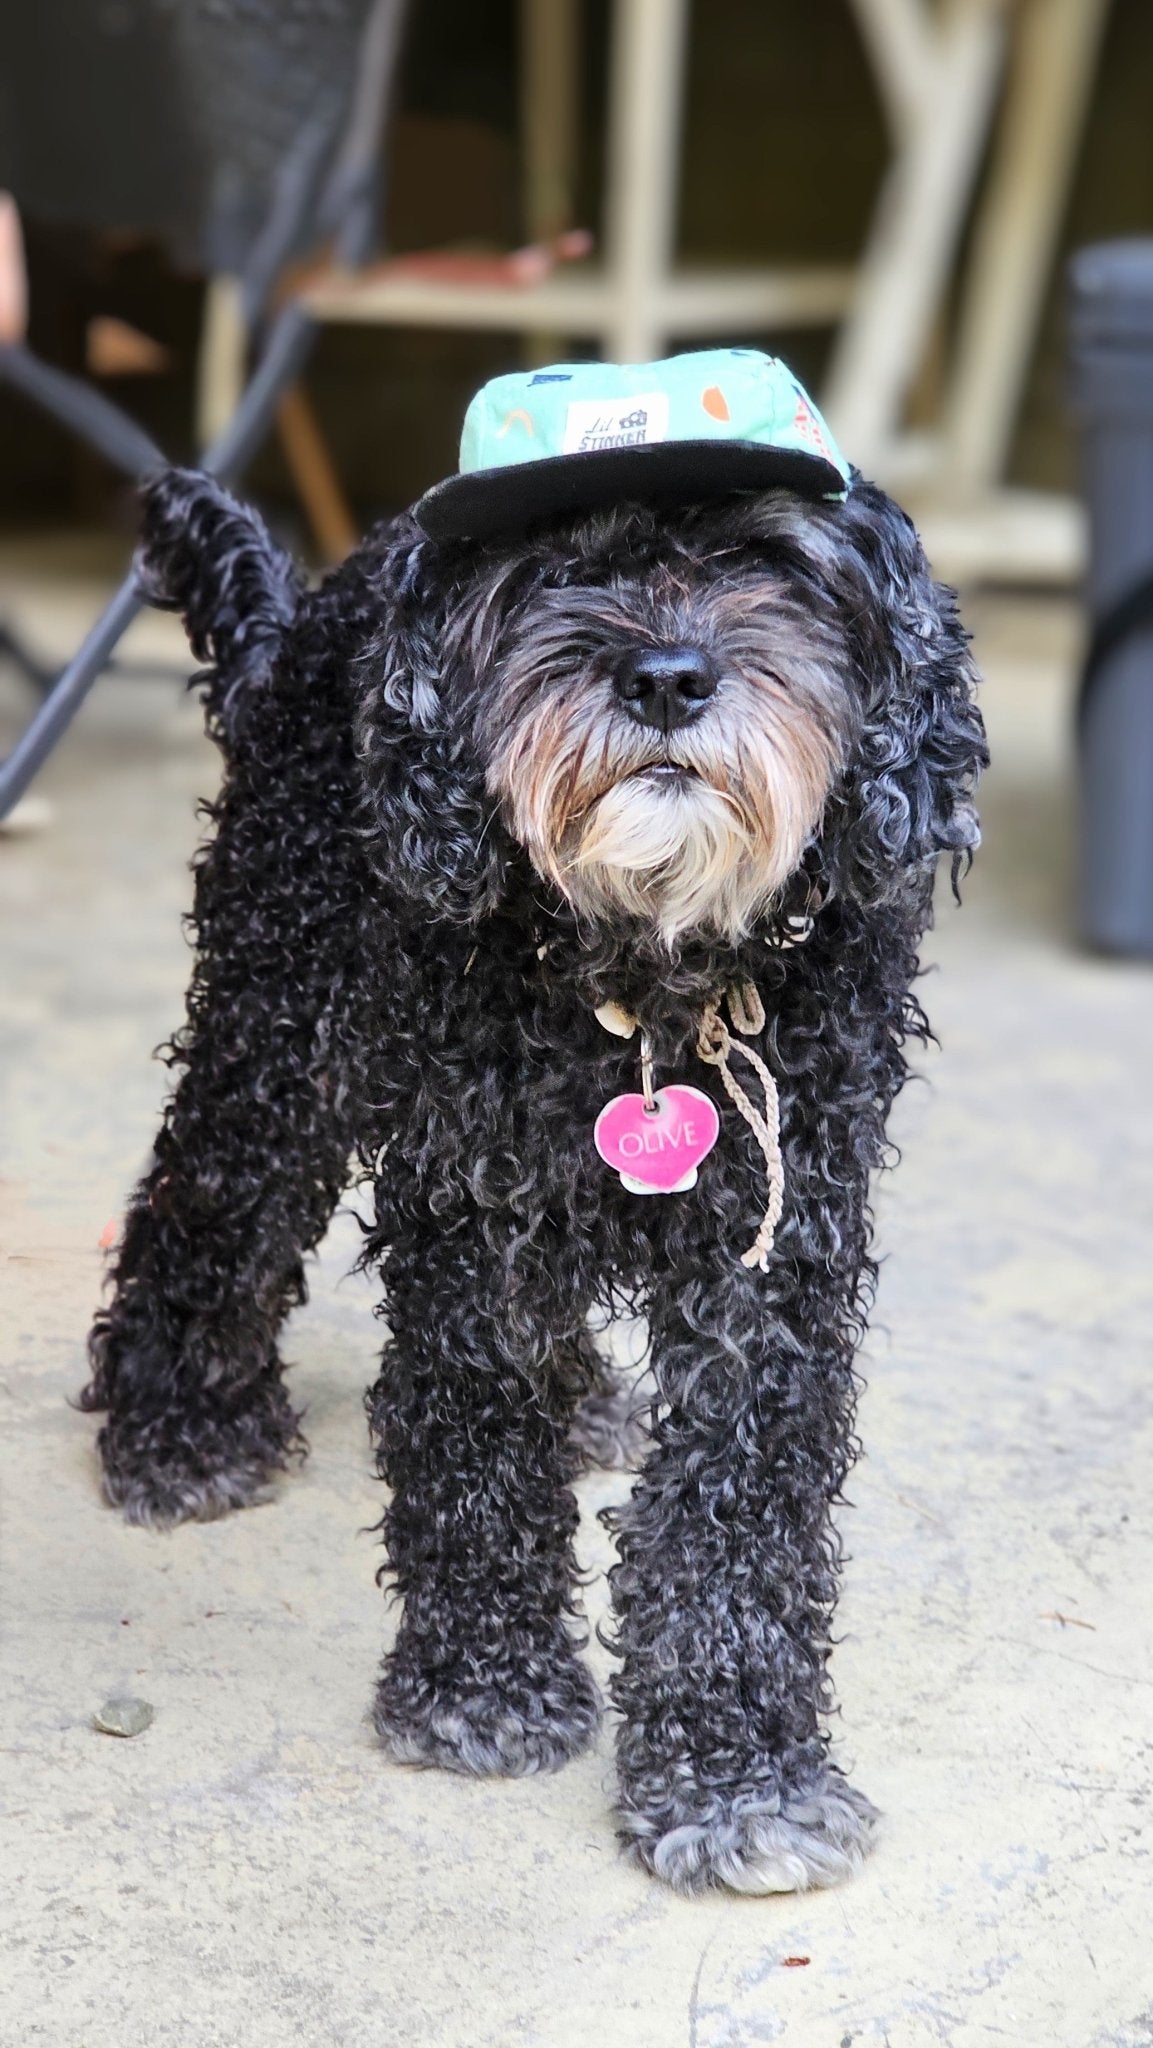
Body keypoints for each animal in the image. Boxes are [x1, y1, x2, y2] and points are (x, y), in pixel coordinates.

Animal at [81, 456, 987, 1892]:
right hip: (279, 1031)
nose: (666, 677)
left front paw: (739, 1778)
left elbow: (742, 1509)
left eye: (770, 563)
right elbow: (472, 1443)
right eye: (560, 570)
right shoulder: (468, 1205)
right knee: (208, 1202)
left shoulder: (777, 1249)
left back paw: (582, 1402)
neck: (644, 971)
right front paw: (484, 1683)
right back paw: (180, 1429)